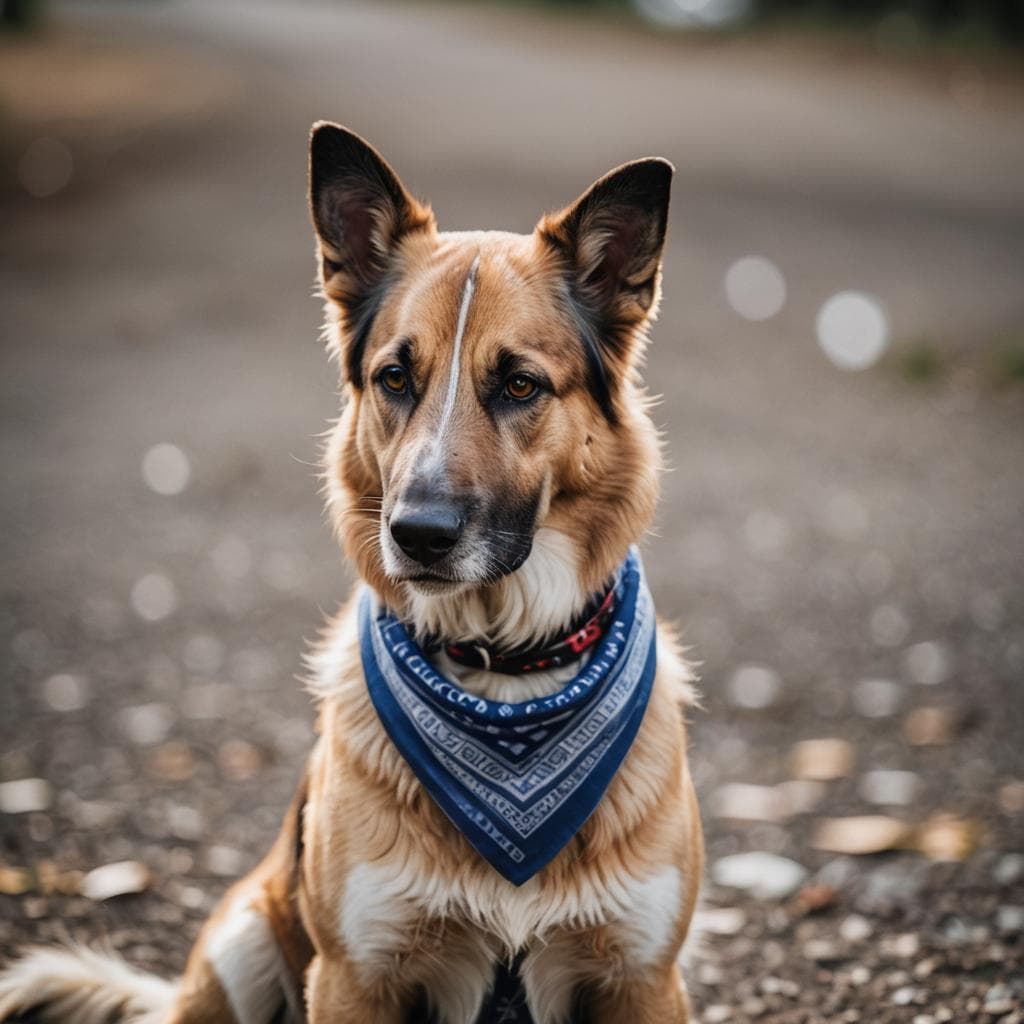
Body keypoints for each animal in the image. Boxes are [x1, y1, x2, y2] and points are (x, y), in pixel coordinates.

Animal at [0, 121, 704, 1024]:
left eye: (519, 384)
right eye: (395, 377)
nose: (418, 535)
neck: (501, 674)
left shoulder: (644, 980)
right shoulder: (352, 975)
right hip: (243, 940)